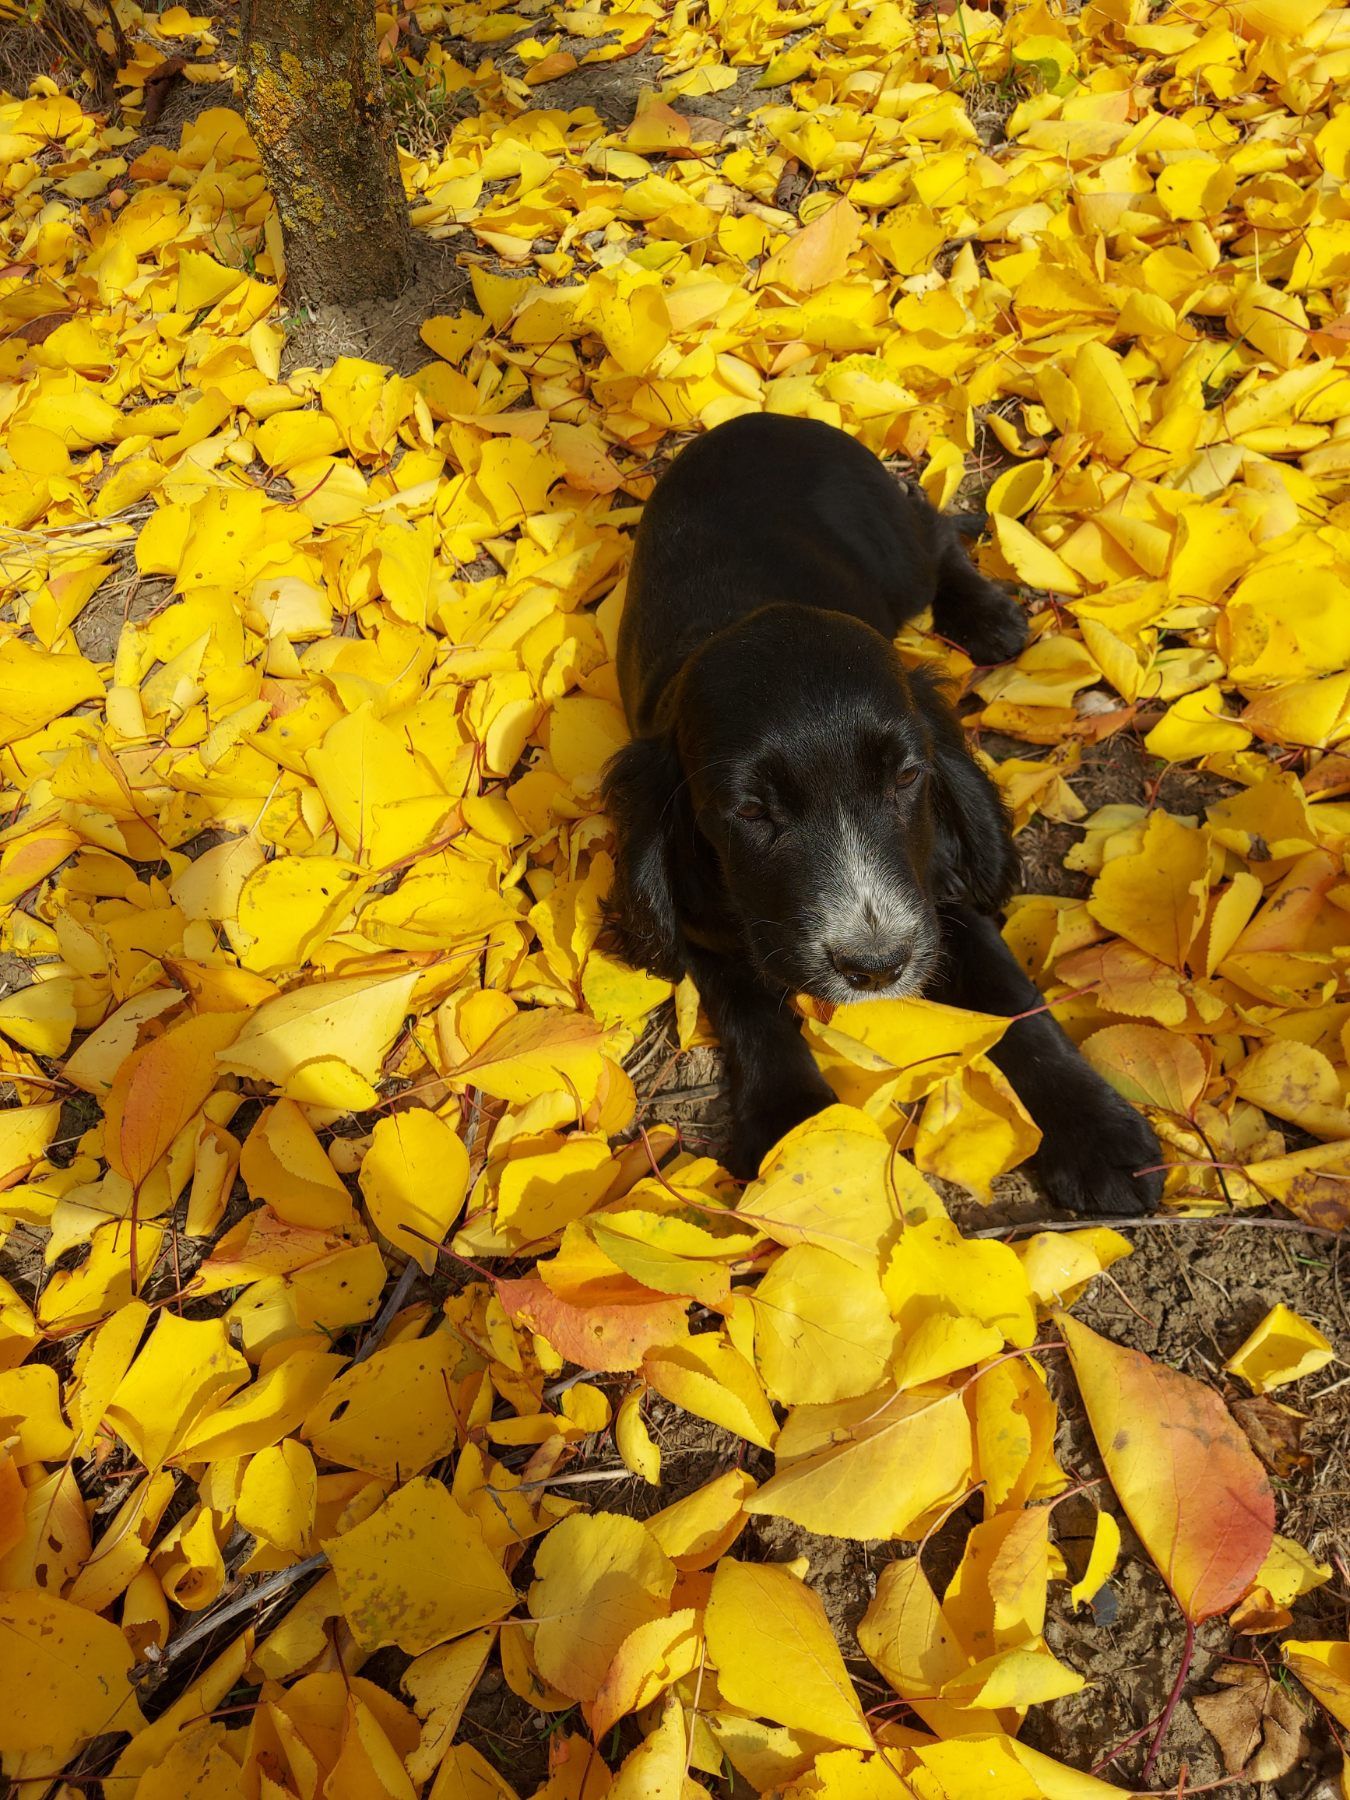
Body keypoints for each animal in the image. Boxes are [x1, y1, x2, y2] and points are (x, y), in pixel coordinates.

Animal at [601, 414, 1166, 1216]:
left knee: (934, 530)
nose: (876, 967)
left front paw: (1098, 1134)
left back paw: (988, 615)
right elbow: (752, 1013)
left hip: (893, 553)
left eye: (906, 777)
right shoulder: (706, 921)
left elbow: (1013, 1001)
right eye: (750, 810)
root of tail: (765, 417)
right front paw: (796, 1135)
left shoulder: (937, 893)